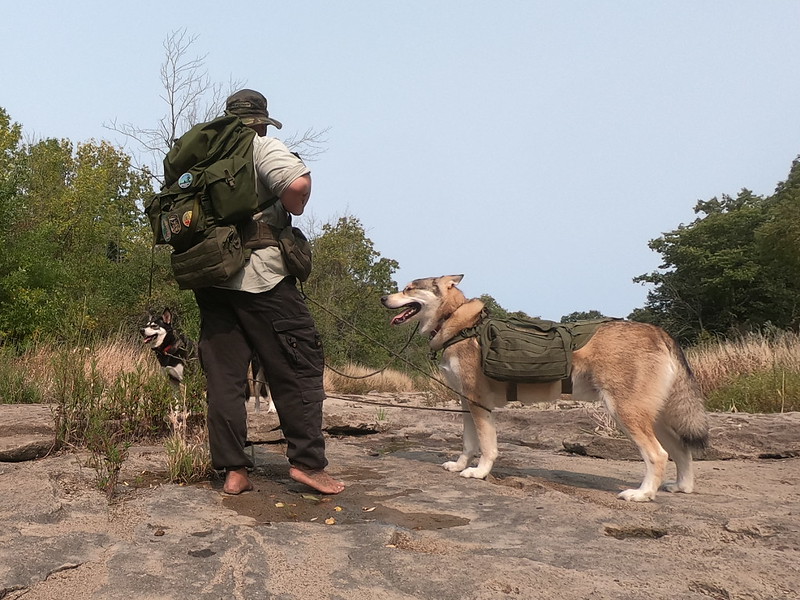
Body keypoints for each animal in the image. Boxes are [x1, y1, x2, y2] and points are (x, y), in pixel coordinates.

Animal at [384, 274, 708, 500]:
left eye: (409, 288)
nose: (383, 299)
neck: (460, 325)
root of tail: (658, 331)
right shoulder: (466, 404)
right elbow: (468, 443)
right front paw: (461, 465)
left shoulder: (479, 404)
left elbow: (487, 447)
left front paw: (479, 473)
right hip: (656, 418)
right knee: (682, 449)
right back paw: (682, 487)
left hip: (625, 414)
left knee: (658, 455)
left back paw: (642, 494)